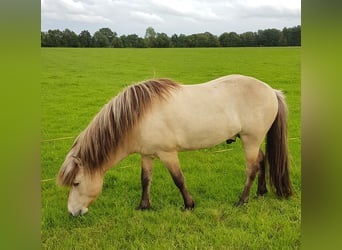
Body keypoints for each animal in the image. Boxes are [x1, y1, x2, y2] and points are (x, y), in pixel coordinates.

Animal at [57, 74, 292, 217]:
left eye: (76, 183)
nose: (72, 212)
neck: (138, 116)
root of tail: (271, 91)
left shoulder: (167, 153)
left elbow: (179, 179)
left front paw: (189, 205)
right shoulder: (147, 155)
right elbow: (145, 180)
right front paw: (144, 206)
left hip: (250, 140)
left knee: (251, 168)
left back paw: (242, 201)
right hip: (251, 140)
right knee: (261, 161)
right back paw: (261, 192)